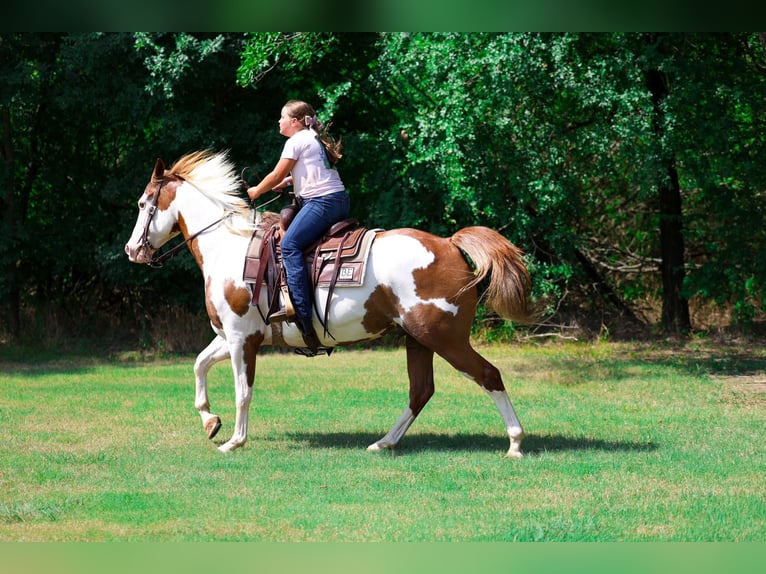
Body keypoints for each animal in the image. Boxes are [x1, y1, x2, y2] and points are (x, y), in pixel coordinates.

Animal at [124, 150, 533, 457]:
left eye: (144, 203)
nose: (131, 250)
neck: (229, 247)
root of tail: (449, 244)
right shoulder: (233, 336)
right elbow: (199, 365)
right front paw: (211, 422)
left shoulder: (242, 339)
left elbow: (243, 391)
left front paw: (234, 441)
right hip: (417, 339)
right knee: (421, 392)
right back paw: (384, 442)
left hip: (445, 338)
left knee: (488, 376)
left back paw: (515, 443)